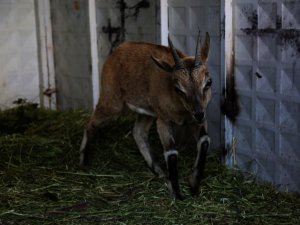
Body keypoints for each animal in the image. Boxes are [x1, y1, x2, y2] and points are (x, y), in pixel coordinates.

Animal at [78, 31, 212, 199]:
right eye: (178, 88)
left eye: (208, 82)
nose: (198, 113)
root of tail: (118, 51)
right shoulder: (163, 120)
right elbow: (171, 152)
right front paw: (177, 194)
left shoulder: (198, 119)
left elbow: (204, 141)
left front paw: (193, 183)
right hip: (112, 103)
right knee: (91, 123)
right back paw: (83, 161)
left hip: (147, 114)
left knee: (138, 132)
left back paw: (160, 172)